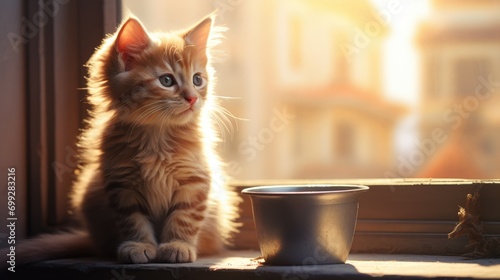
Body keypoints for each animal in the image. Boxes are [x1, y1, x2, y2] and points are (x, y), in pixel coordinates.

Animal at [0, 14, 238, 264]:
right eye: (166, 80)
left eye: (197, 79)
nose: (192, 98)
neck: (157, 136)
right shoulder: (122, 184)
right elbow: (134, 221)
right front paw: (138, 245)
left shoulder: (195, 181)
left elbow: (184, 217)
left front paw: (178, 245)